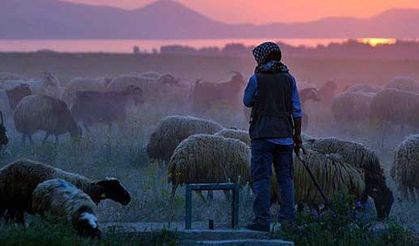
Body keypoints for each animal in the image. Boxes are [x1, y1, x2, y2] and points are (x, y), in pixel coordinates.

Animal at [0, 159, 131, 224]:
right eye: (114, 186)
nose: (128, 198)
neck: (89, 188)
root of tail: (4, 170)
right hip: (10, 201)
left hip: (14, 204)